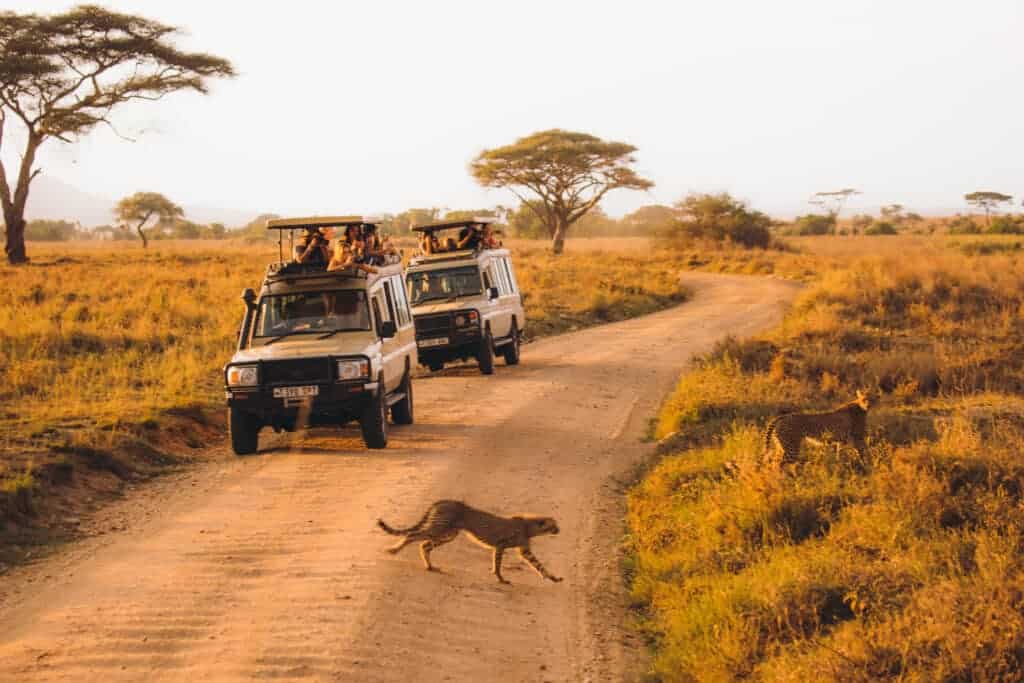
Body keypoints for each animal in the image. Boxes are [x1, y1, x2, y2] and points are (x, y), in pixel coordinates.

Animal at [378, 499, 563, 584]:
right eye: (554, 525)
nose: (559, 530)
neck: (529, 526)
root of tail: (446, 500)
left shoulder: (522, 550)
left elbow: (538, 565)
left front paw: (553, 578)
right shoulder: (501, 545)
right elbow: (499, 564)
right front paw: (501, 578)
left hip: (449, 534)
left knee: (425, 545)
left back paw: (430, 566)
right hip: (439, 528)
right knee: (413, 535)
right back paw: (394, 550)